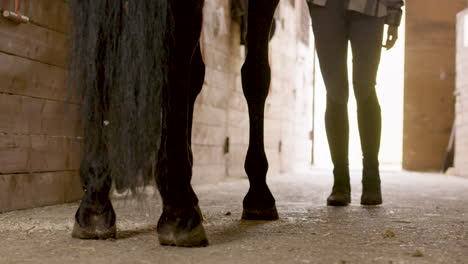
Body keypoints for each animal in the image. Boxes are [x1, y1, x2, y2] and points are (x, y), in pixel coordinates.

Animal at [70, 0, 278, 248]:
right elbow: (256, 75)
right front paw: (259, 195)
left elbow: (196, 74)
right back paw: (179, 210)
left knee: (99, 49)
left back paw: (94, 207)